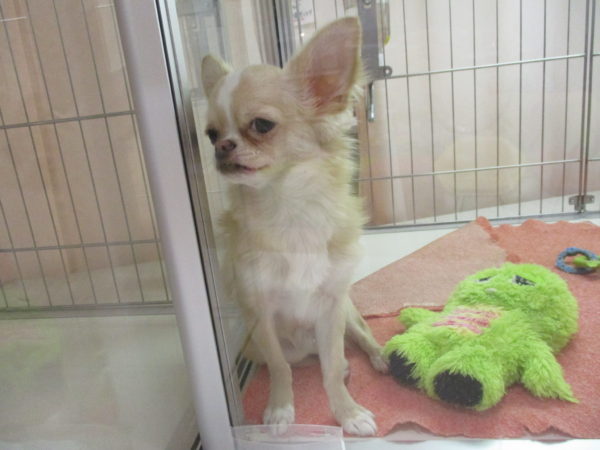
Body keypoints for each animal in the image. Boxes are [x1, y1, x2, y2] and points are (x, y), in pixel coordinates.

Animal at [201, 17, 387, 436]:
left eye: (262, 125)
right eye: (210, 134)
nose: (221, 147)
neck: (288, 207)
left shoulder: (331, 307)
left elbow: (330, 369)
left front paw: (348, 413)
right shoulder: (261, 314)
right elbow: (280, 368)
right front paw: (281, 409)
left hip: (346, 312)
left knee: (360, 337)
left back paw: (379, 357)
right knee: (292, 360)